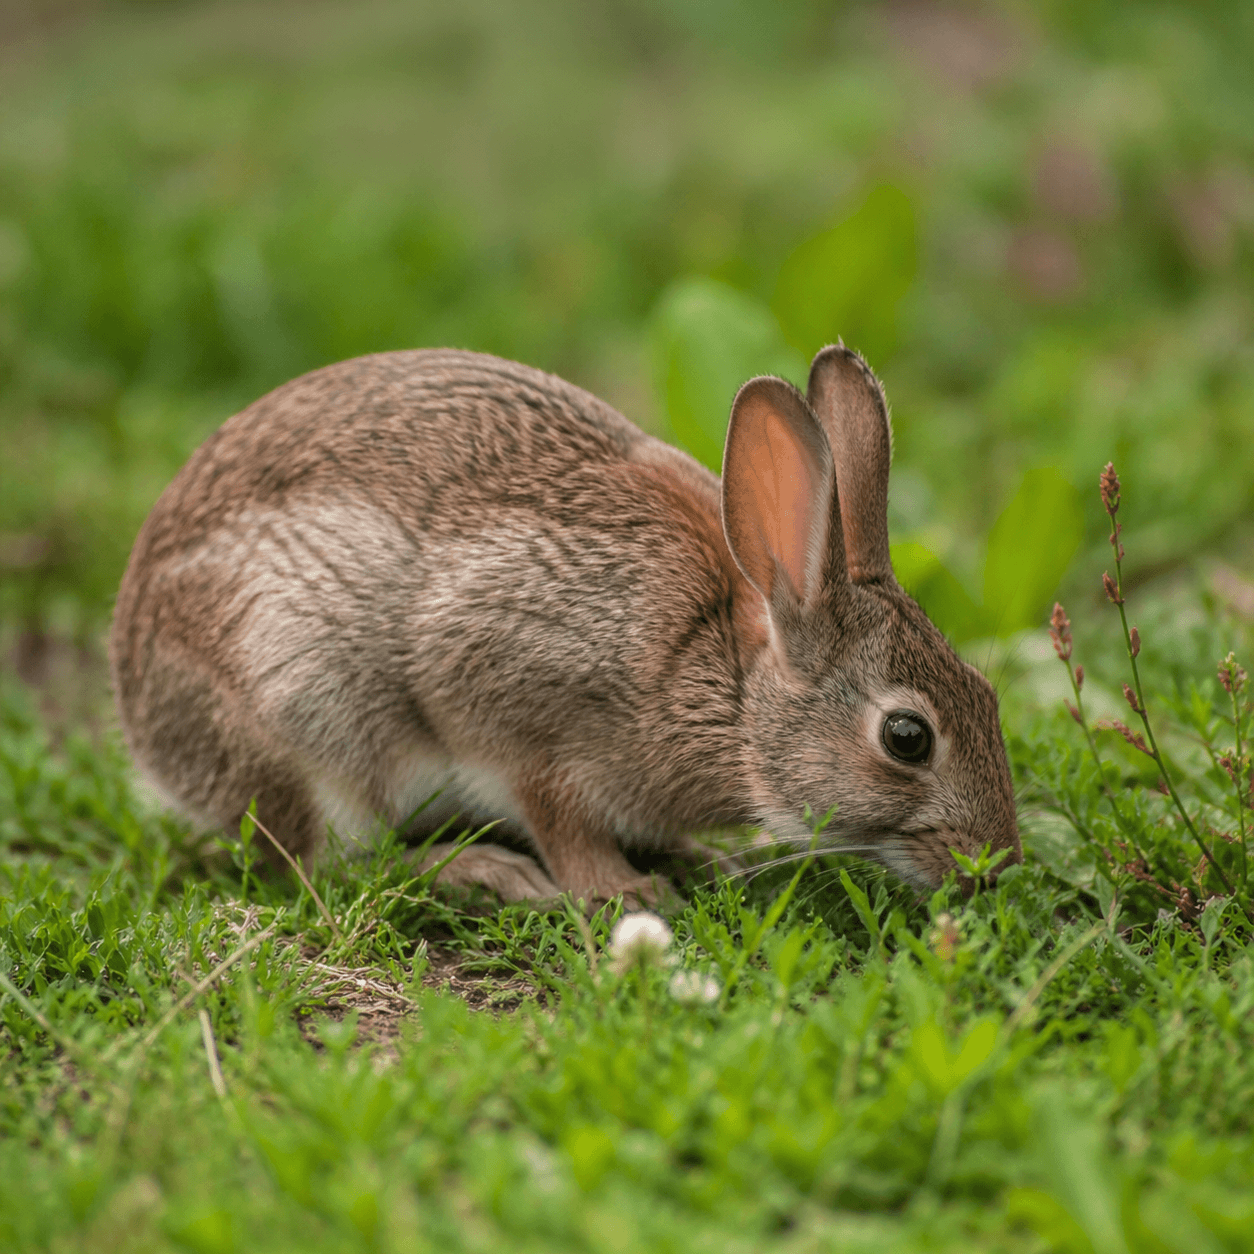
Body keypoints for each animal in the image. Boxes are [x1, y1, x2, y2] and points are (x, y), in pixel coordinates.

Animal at [110, 345, 1021, 907]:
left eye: (987, 694)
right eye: (907, 737)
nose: (997, 865)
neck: (724, 683)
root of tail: (145, 734)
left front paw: (706, 858)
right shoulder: (515, 706)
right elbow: (555, 813)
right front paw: (626, 891)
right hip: (306, 716)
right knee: (327, 862)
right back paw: (482, 871)